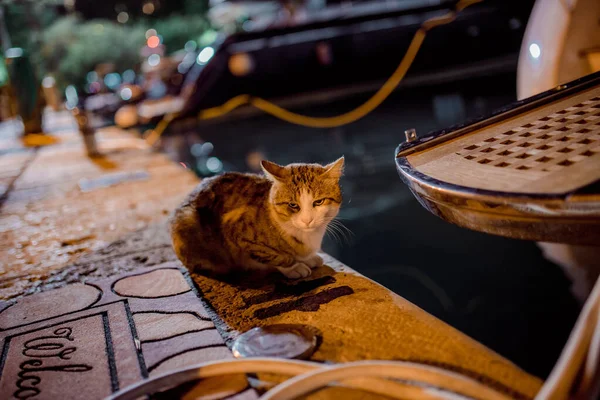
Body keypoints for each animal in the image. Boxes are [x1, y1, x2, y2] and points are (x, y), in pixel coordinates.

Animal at [171, 156, 344, 278]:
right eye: (293, 205)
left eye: (318, 201)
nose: (307, 220)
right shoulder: (237, 232)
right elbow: (275, 256)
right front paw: (294, 267)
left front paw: (307, 258)